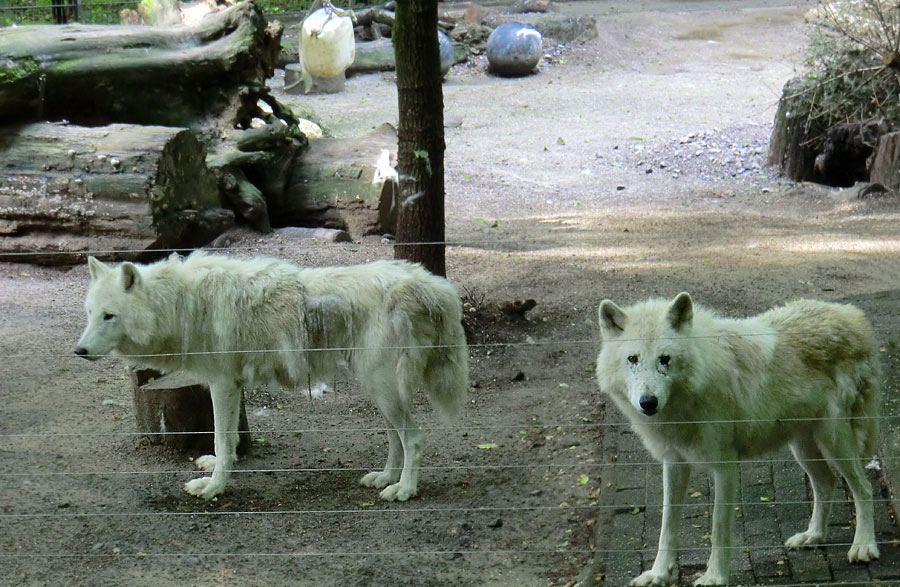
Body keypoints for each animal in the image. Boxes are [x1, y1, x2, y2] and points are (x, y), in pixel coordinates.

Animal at [75, 250, 472, 504]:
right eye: (90, 313)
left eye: (109, 316)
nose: (79, 351)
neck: (182, 305)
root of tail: (431, 284)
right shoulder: (232, 385)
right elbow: (230, 440)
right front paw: (218, 468)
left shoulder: (222, 383)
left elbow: (221, 438)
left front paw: (213, 488)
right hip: (378, 388)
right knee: (395, 438)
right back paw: (385, 478)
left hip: (383, 387)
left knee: (415, 438)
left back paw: (404, 490)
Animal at [596, 294, 884, 587]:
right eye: (632, 358)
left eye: (665, 359)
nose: (648, 402)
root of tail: (850, 314)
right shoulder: (674, 463)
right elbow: (667, 526)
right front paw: (658, 574)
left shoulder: (725, 466)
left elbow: (718, 527)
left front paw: (715, 576)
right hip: (802, 446)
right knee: (827, 482)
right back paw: (813, 536)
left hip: (834, 440)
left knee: (863, 488)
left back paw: (863, 546)